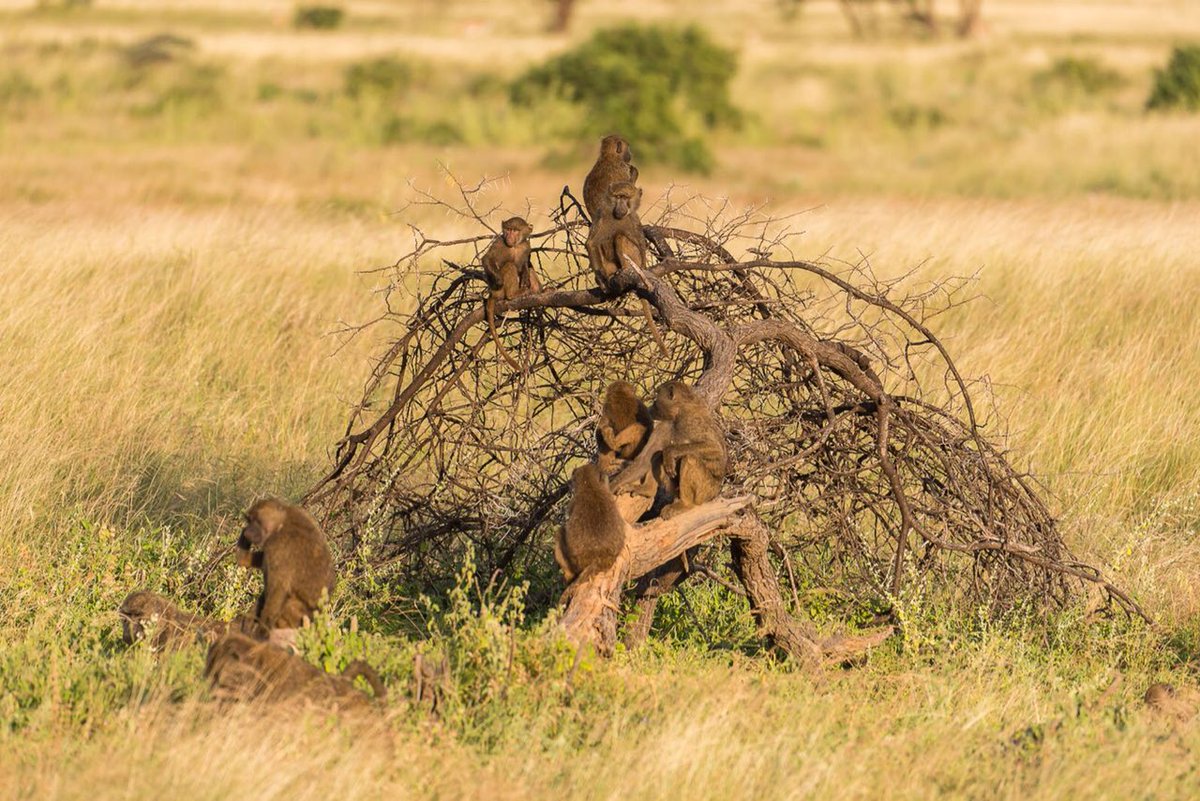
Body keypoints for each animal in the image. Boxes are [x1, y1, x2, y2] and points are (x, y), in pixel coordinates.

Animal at [235, 498, 336, 637]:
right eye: (250, 520)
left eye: (257, 521)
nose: (248, 531)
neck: (282, 522)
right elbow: (244, 560)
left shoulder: (278, 546)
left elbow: (277, 593)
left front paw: (260, 634)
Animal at [481, 216, 538, 372]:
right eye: (507, 229)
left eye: (515, 230)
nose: (509, 236)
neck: (515, 246)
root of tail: (493, 294)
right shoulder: (499, 243)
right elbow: (487, 259)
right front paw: (499, 279)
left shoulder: (526, 246)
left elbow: (525, 264)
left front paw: (526, 277)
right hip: (499, 291)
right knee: (510, 265)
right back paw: (515, 294)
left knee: (528, 270)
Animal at [585, 182, 669, 357]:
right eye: (617, 197)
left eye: (625, 197)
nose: (621, 207)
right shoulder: (602, 213)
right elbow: (592, 243)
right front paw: (600, 281)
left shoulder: (634, 219)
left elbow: (640, 243)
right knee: (604, 243)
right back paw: (610, 276)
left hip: (634, 259)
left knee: (620, 237)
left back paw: (624, 270)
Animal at [651, 381, 728, 520]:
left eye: (658, 394)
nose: (653, 404)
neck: (680, 408)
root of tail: (717, 492)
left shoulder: (690, 422)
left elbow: (714, 448)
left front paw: (670, 452)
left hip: (706, 492)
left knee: (690, 458)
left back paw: (685, 504)